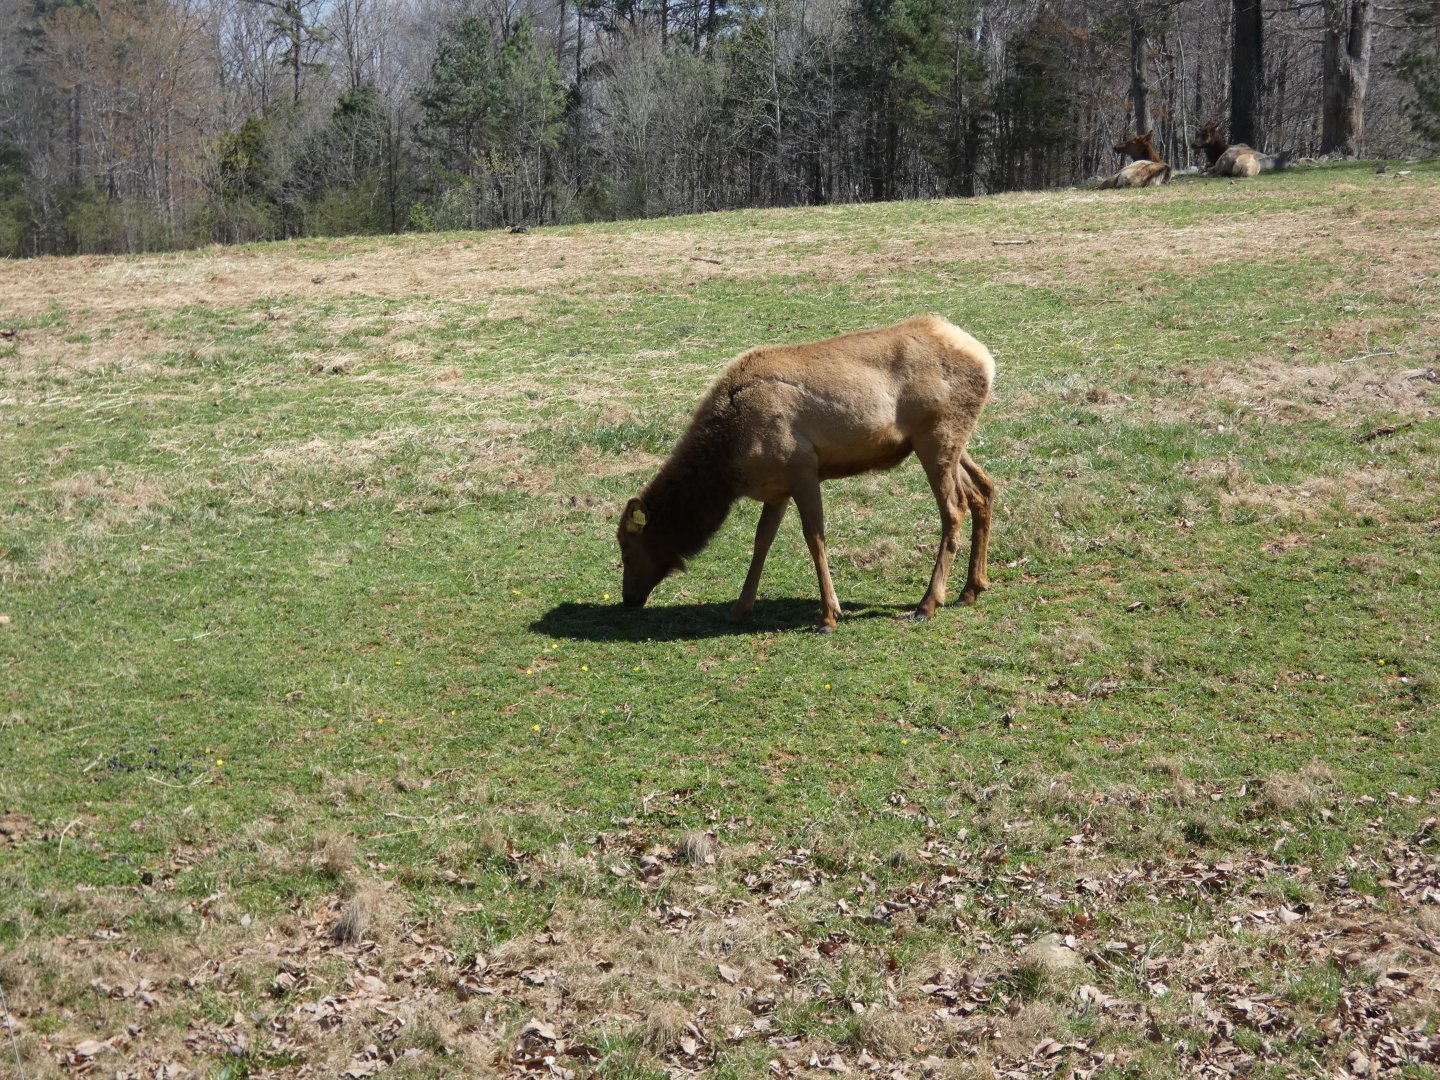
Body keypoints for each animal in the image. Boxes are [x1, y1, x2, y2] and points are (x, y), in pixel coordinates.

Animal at [616, 316, 995, 633]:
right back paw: (971, 588)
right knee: (983, 488)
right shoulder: (777, 487)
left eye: (627, 552)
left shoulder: (802, 467)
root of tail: (988, 360)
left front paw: (829, 616)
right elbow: (762, 541)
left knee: (954, 508)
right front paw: (740, 608)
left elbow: (814, 538)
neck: (730, 463)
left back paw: (928, 603)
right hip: (945, 442)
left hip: (936, 436)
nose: (628, 599)